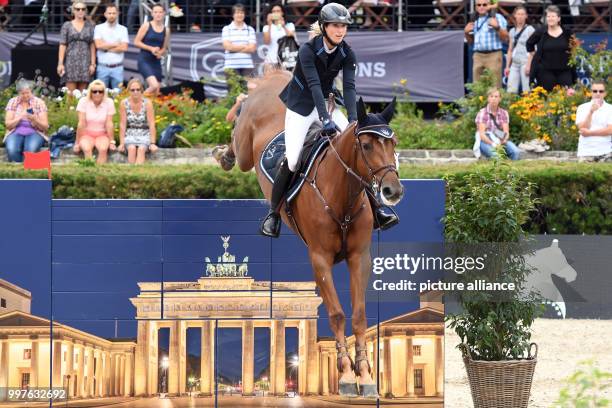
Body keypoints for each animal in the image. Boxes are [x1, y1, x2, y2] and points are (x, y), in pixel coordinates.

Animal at [213, 69, 404, 396]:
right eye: (367, 146)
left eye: (393, 144)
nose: (393, 191)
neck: (341, 197)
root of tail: (276, 77)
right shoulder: (320, 259)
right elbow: (337, 313)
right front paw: (345, 374)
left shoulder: (359, 257)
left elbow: (358, 314)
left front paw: (365, 375)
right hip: (246, 151)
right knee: (237, 148)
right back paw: (225, 144)